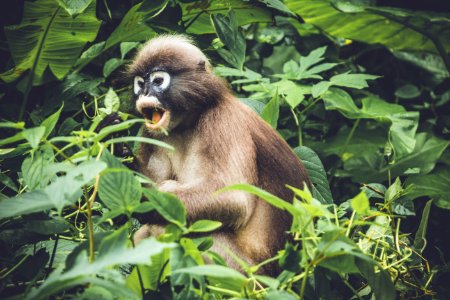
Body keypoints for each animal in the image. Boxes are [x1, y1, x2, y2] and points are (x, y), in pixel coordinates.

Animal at [126, 34, 310, 274]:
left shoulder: (222, 121)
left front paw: (142, 198)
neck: (190, 121)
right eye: (140, 83)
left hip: (242, 269)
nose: (145, 92)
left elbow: (233, 200)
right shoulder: (153, 133)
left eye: (158, 81)